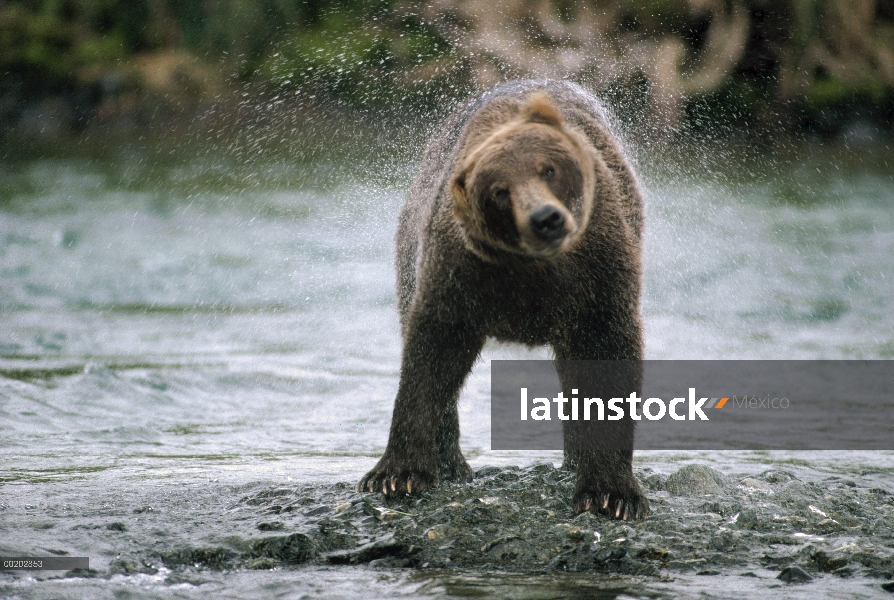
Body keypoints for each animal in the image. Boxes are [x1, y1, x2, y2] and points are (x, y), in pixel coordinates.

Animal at [358, 79, 652, 520]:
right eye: (500, 191)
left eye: (548, 169)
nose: (545, 218)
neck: (534, 268)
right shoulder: (460, 271)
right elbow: (432, 354)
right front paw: (397, 474)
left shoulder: (600, 274)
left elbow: (608, 359)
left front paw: (611, 494)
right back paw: (452, 465)